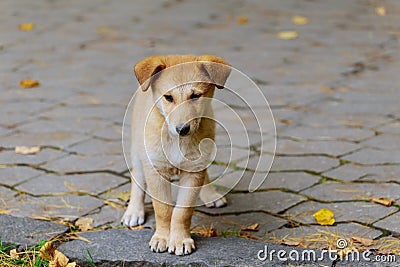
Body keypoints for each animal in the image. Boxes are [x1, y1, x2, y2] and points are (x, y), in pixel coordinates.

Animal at [122, 54, 231, 255]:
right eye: (168, 97)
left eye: (195, 96)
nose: (182, 129)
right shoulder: (155, 170)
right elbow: (163, 210)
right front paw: (162, 238)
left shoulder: (194, 171)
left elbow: (182, 212)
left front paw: (180, 240)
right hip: (137, 150)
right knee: (137, 179)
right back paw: (134, 211)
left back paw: (210, 194)